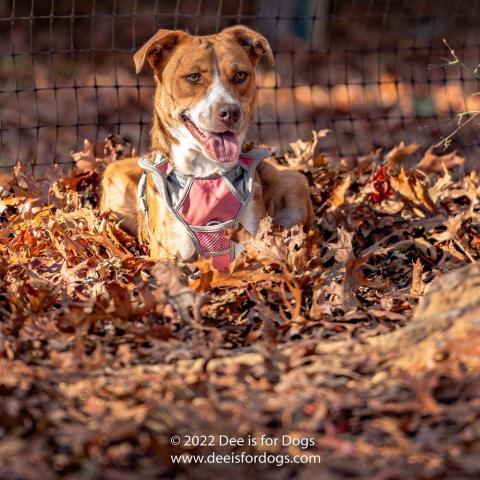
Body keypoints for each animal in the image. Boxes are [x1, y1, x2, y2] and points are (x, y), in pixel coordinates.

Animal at [99, 26, 314, 270]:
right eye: (193, 77)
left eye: (240, 75)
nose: (230, 112)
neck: (206, 171)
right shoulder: (171, 252)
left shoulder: (253, 243)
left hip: (292, 181)